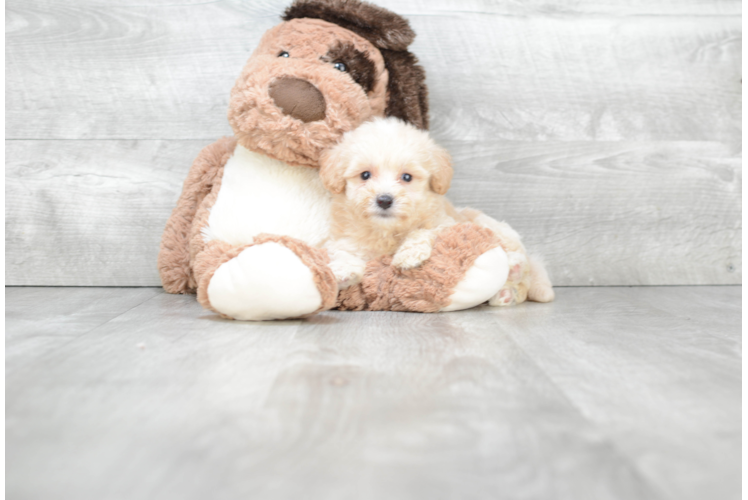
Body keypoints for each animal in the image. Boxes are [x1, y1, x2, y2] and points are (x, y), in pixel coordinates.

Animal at [318, 118, 552, 304]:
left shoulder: (445, 223)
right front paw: (344, 270)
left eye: (407, 177)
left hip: (494, 228)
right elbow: (342, 251)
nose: (384, 200)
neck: (387, 231)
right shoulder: (344, 238)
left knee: (524, 271)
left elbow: (423, 230)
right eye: (365, 175)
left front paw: (409, 254)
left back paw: (513, 271)